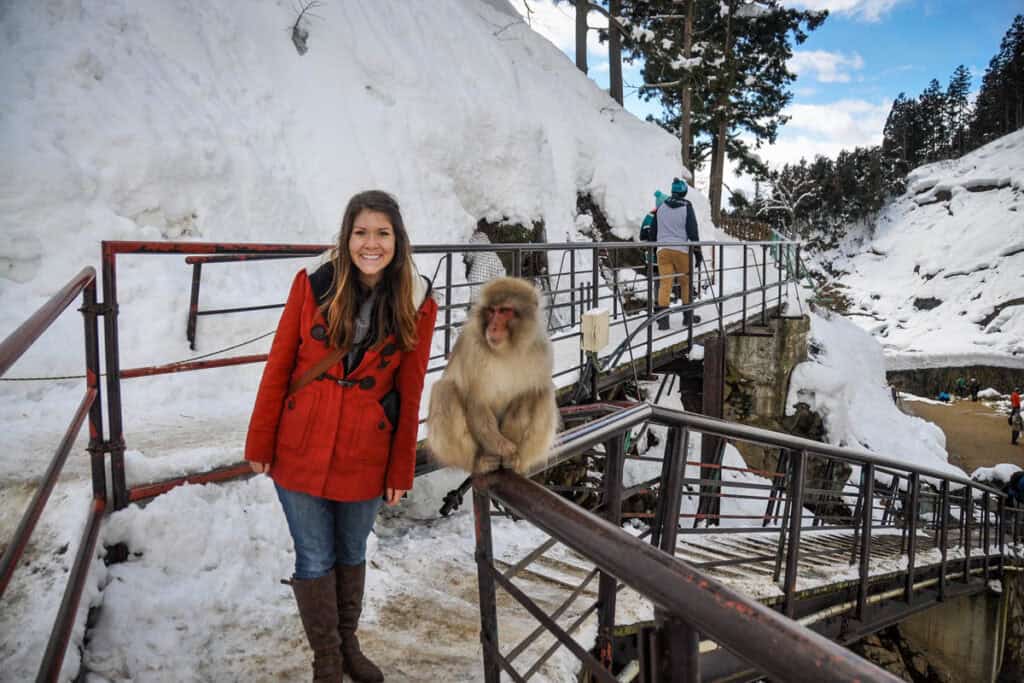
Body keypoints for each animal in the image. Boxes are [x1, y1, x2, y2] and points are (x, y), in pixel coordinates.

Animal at [430, 274, 565, 473]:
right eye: (491, 311)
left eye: (504, 311)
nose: (492, 327)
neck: (506, 351)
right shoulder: (471, 349)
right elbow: (475, 400)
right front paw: (502, 445)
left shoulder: (542, 351)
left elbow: (528, 394)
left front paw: (511, 447)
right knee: (444, 390)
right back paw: (478, 461)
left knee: (543, 392)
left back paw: (516, 460)